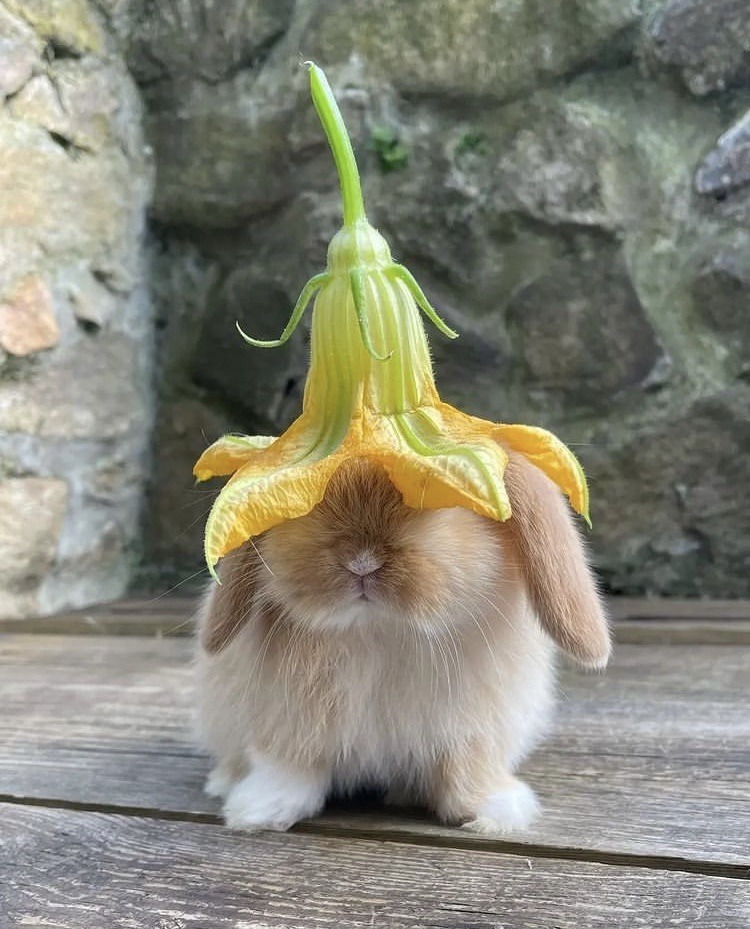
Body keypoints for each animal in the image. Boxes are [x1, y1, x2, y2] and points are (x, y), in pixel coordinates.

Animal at [194, 451, 610, 834]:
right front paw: (259, 810)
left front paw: (494, 811)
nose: (361, 562)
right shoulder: (286, 723)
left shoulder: (475, 731)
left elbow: (467, 770)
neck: (379, 632)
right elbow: (287, 766)